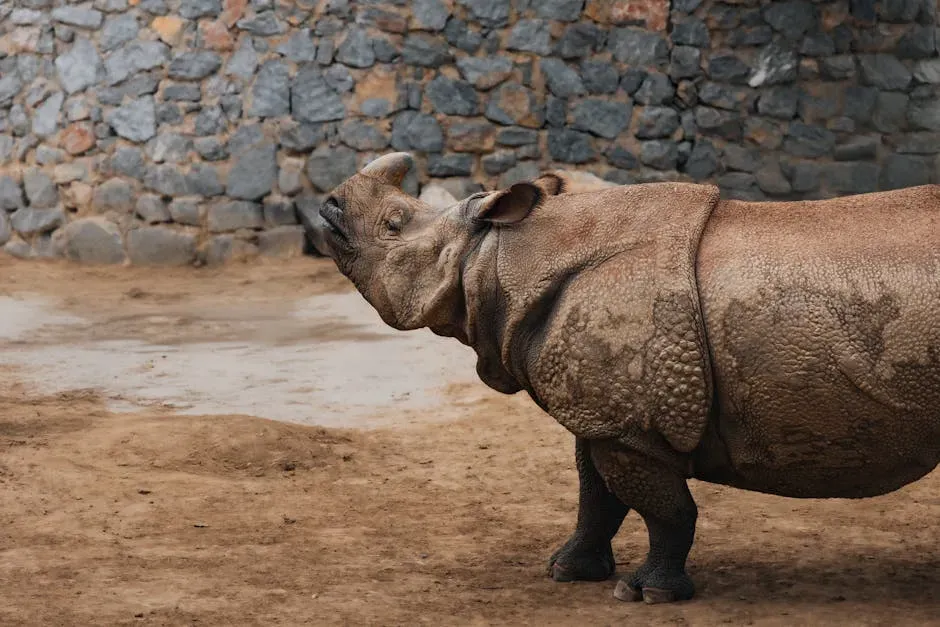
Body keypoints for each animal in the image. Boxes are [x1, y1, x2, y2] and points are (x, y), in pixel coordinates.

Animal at [298, 152, 940, 604]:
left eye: (393, 223)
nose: (325, 205)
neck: (494, 256)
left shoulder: (629, 427)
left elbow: (663, 508)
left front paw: (647, 593)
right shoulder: (605, 416)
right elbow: (595, 496)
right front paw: (565, 571)